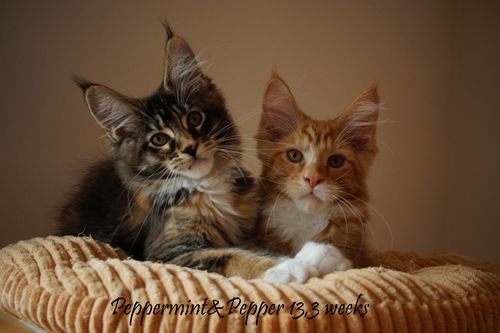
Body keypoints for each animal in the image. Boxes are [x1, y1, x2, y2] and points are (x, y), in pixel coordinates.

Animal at [58, 26, 282, 278]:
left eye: (194, 119)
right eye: (159, 139)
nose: (190, 147)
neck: (207, 187)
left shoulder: (248, 230)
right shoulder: (170, 252)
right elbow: (233, 255)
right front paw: (280, 265)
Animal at [258, 71, 378, 282]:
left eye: (336, 161)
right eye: (294, 155)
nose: (312, 179)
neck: (306, 218)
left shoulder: (360, 252)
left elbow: (325, 249)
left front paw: (292, 268)